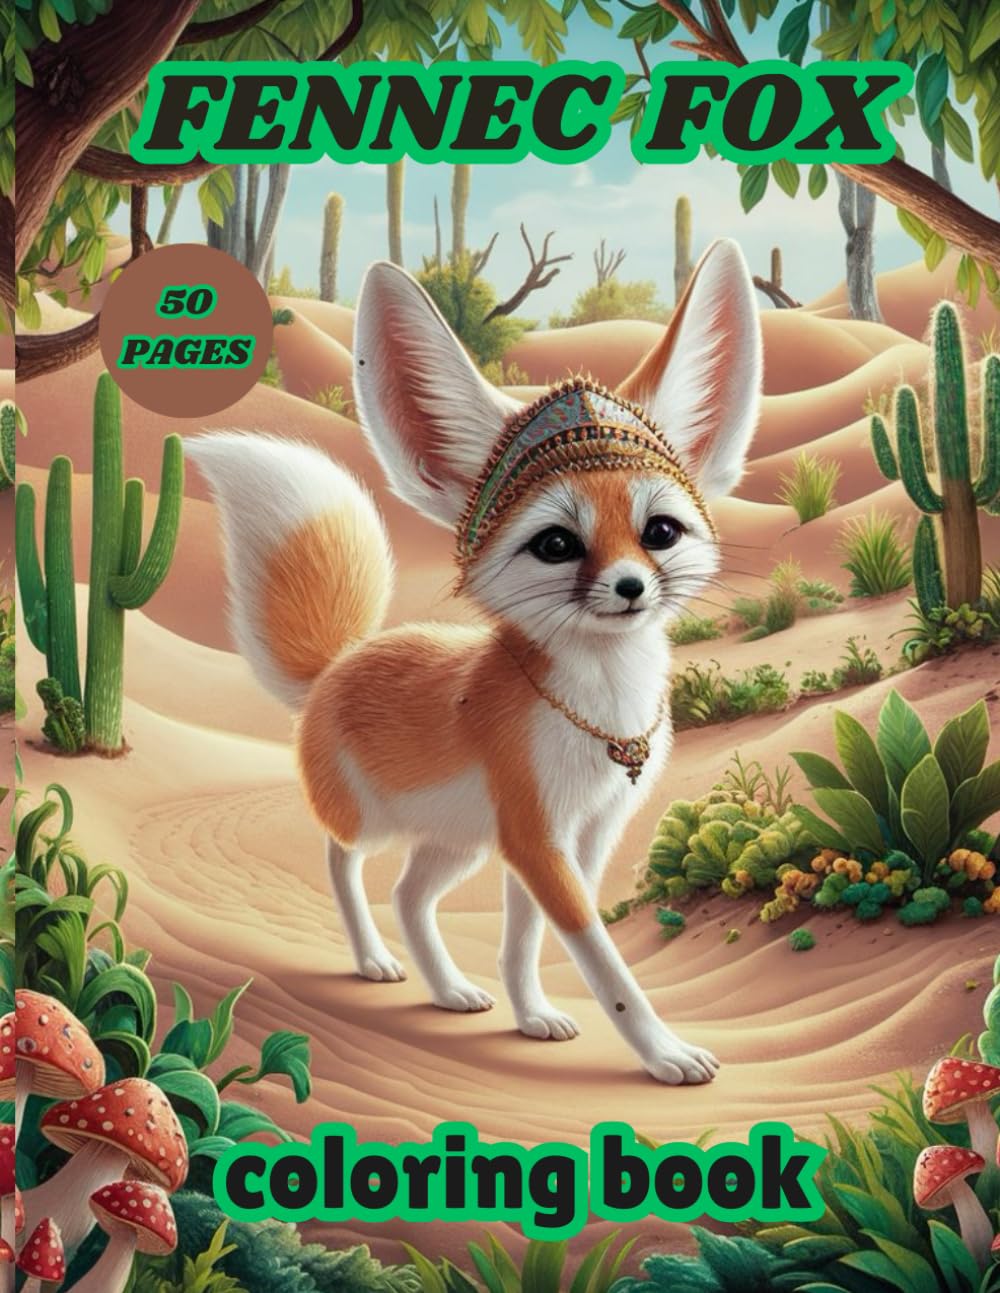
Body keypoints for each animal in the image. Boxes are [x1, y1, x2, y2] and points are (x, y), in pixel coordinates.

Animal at [186, 237, 763, 1085]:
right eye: (556, 544)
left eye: (660, 532)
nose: (631, 588)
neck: (600, 713)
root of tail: (340, 659)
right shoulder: (535, 836)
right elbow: (605, 965)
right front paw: (662, 1051)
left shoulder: (573, 838)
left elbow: (525, 939)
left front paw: (531, 1014)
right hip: (376, 822)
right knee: (340, 863)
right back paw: (371, 960)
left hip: (455, 842)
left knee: (408, 896)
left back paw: (449, 988)